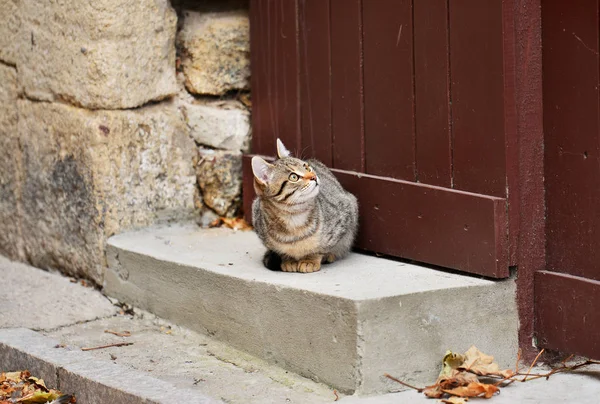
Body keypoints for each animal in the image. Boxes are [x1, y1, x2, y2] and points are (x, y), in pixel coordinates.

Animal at [251, 137, 358, 274]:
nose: (314, 177)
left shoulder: (345, 213)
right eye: (294, 177)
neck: (293, 217)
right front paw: (289, 260)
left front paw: (310, 260)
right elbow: (282, 251)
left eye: (307, 167)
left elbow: (321, 247)